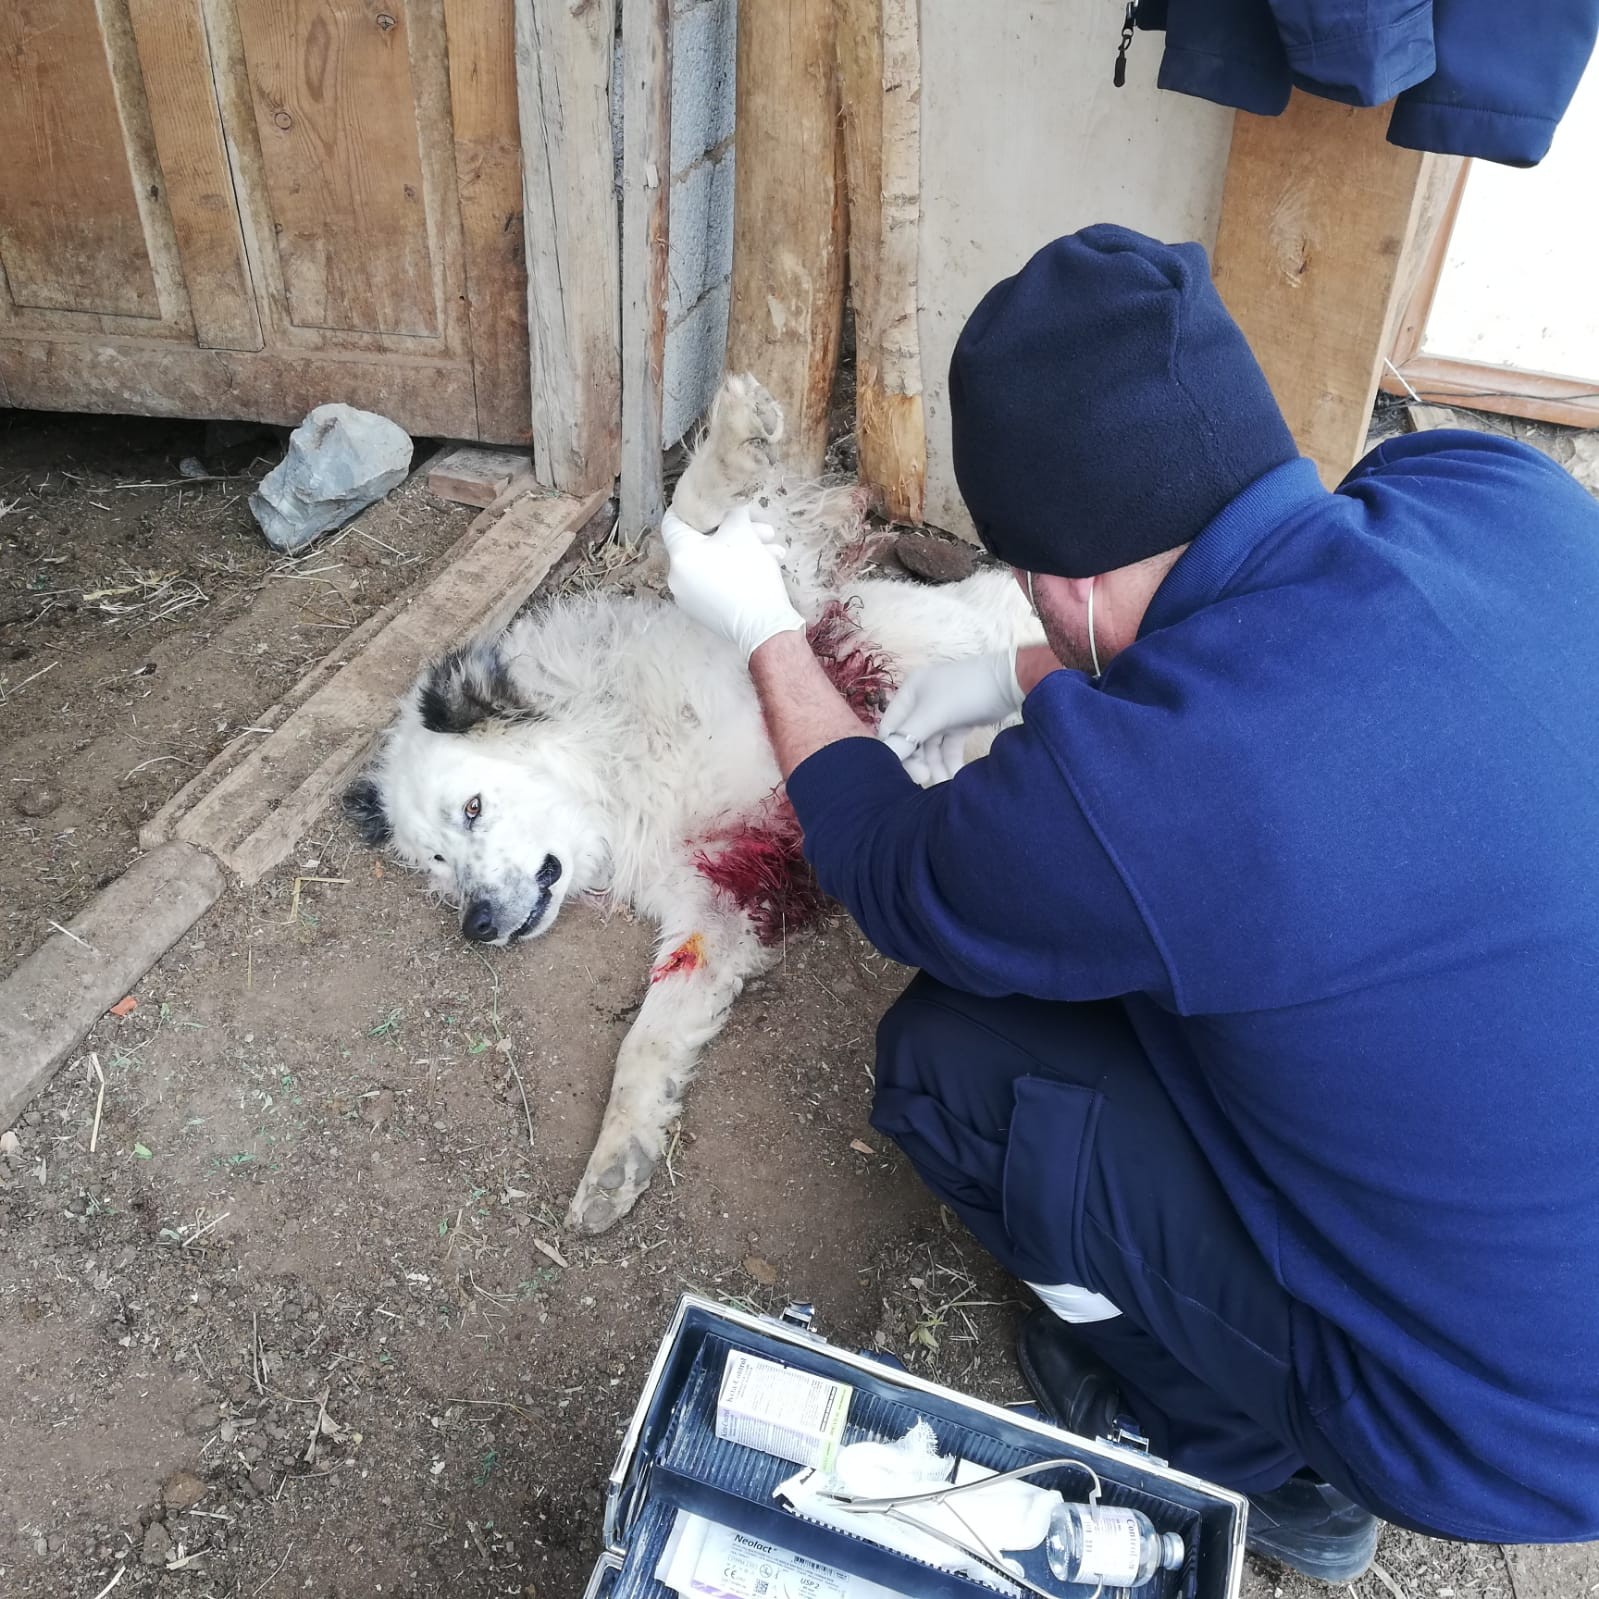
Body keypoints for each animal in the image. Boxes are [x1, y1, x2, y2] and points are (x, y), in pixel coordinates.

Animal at [345, 377, 1036, 1234]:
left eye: (471, 808)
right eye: (437, 862)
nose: (474, 926)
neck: (623, 760)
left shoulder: (800, 624)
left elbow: (698, 524)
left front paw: (733, 442)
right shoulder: (716, 897)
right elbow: (645, 1042)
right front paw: (617, 1158)